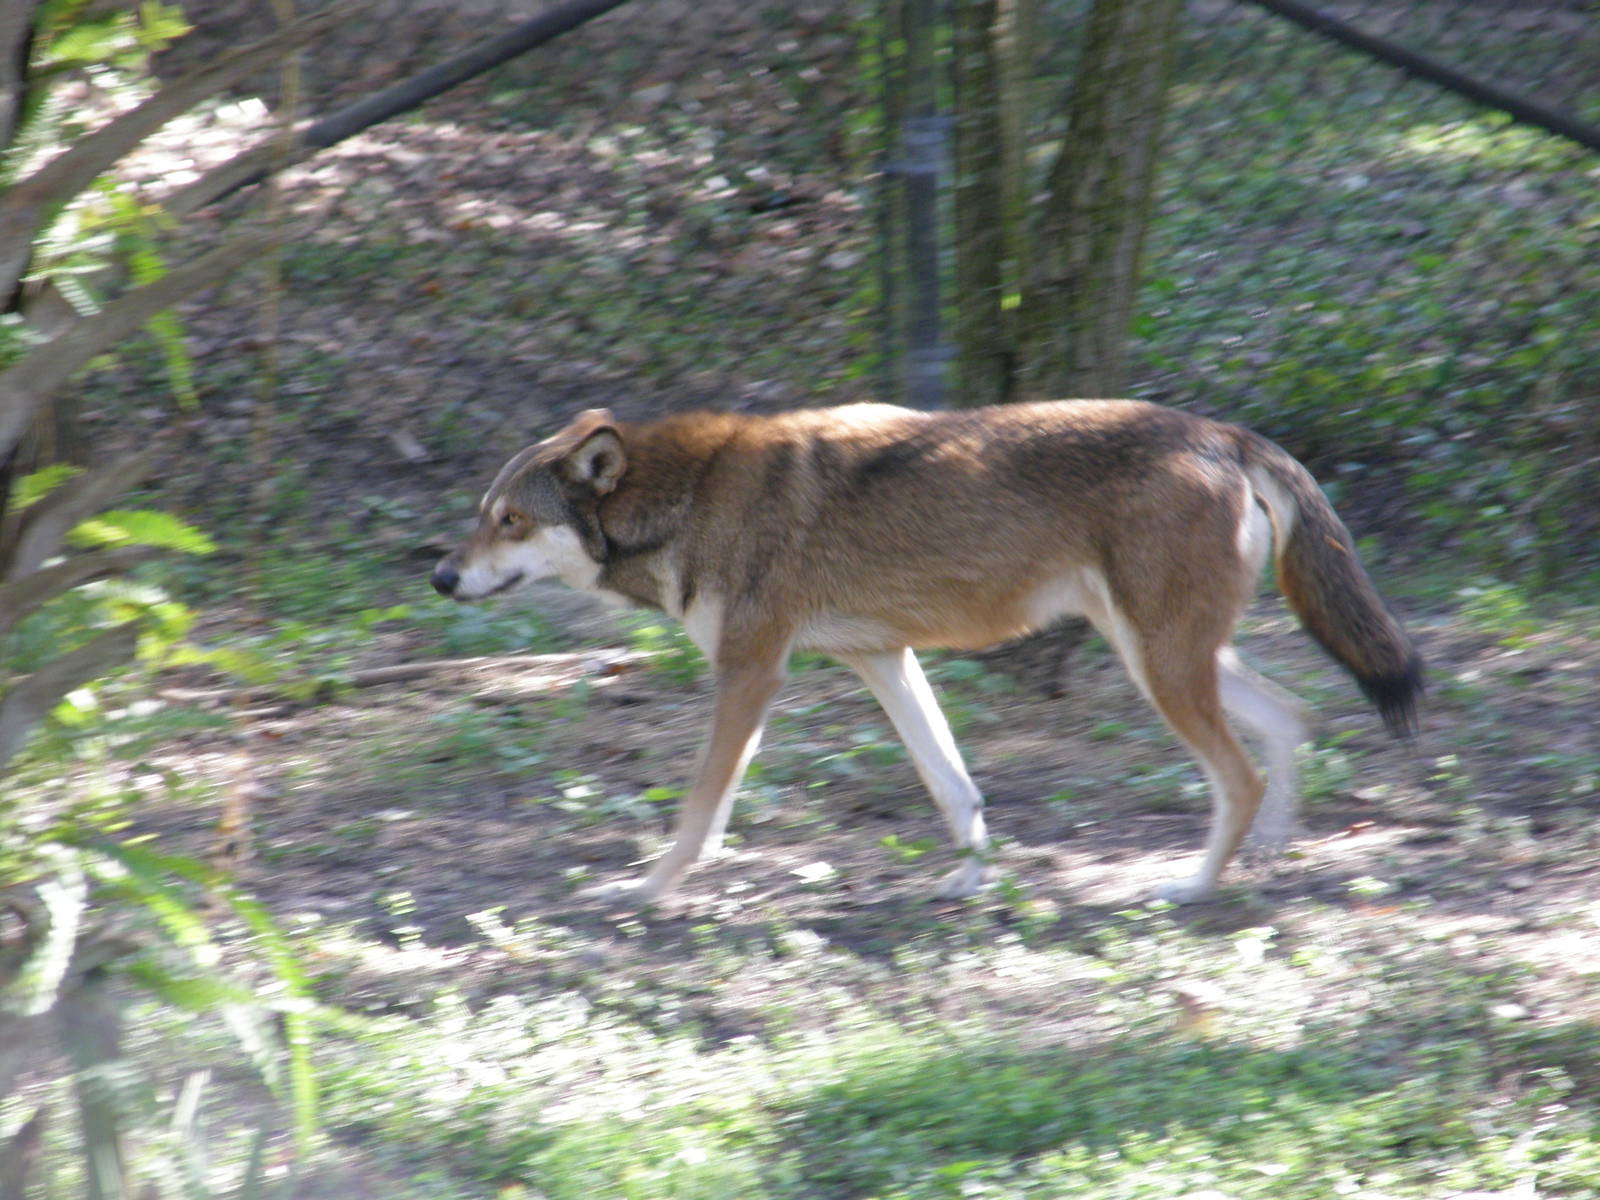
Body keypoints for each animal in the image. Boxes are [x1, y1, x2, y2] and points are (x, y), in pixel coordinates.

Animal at [431, 400, 1422, 905]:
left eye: (509, 521)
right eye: (482, 514)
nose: (441, 577)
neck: (690, 498)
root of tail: (1225, 434)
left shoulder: (750, 673)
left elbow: (698, 813)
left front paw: (644, 888)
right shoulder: (883, 659)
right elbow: (955, 788)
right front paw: (974, 883)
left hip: (1162, 668)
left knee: (1241, 774)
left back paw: (1190, 887)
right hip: (1169, 658)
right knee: (1294, 719)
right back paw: (1268, 861)